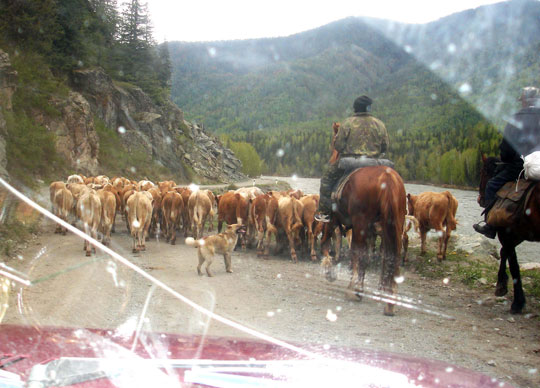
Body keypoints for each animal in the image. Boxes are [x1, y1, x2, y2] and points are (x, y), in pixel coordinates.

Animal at [320, 165, 404, 316]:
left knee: (359, 253)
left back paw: (357, 289)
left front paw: (331, 272)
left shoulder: (345, 224)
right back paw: (390, 302)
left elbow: (354, 253)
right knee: (393, 258)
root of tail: (387, 177)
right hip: (395, 226)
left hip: (361, 225)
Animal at [478, 154, 536, 312]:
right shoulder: (515, 234)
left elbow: (511, 260)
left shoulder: (506, 233)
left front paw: (516, 301)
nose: (480, 199)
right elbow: (507, 255)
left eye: (483, 171)